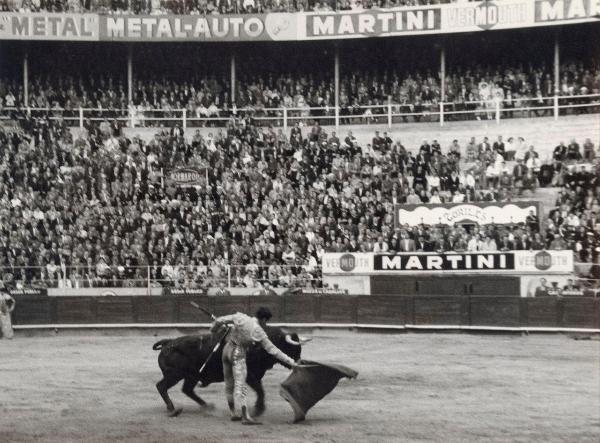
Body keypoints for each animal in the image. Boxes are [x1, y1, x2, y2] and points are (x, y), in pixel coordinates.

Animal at [152, 326, 308, 416]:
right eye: (292, 347)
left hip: (192, 376)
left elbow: (260, 390)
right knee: (161, 386)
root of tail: (168, 343)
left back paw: (207, 406)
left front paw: (258, 408)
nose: (297, 363)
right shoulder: (250, 375)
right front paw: (258, 410)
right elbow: (260, 390)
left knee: (187, 390)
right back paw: (172, 409)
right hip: (175, 374)